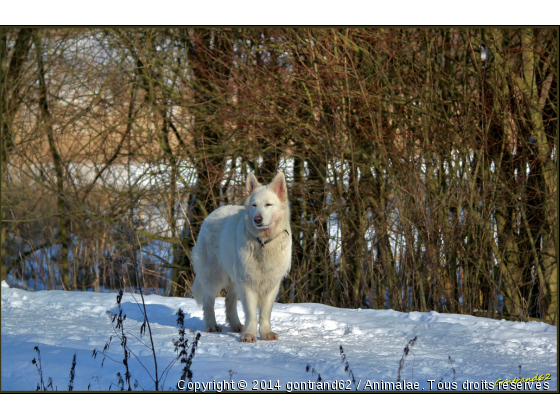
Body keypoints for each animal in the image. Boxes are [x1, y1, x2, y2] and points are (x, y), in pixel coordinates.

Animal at [191, 172, 290, 342]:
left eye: (268, 205)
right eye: (254, 205)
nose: (257, 219)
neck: (263, 242)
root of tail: (212, 214)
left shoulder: (271, 284)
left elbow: (265, 313)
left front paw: (266, 333)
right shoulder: (247, 282)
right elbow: (251, 312)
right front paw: (250, 335)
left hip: (234, 279)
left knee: (228, 301)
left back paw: (236, 325)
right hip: (214, 275)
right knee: (208, 301)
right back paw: (212, 326)